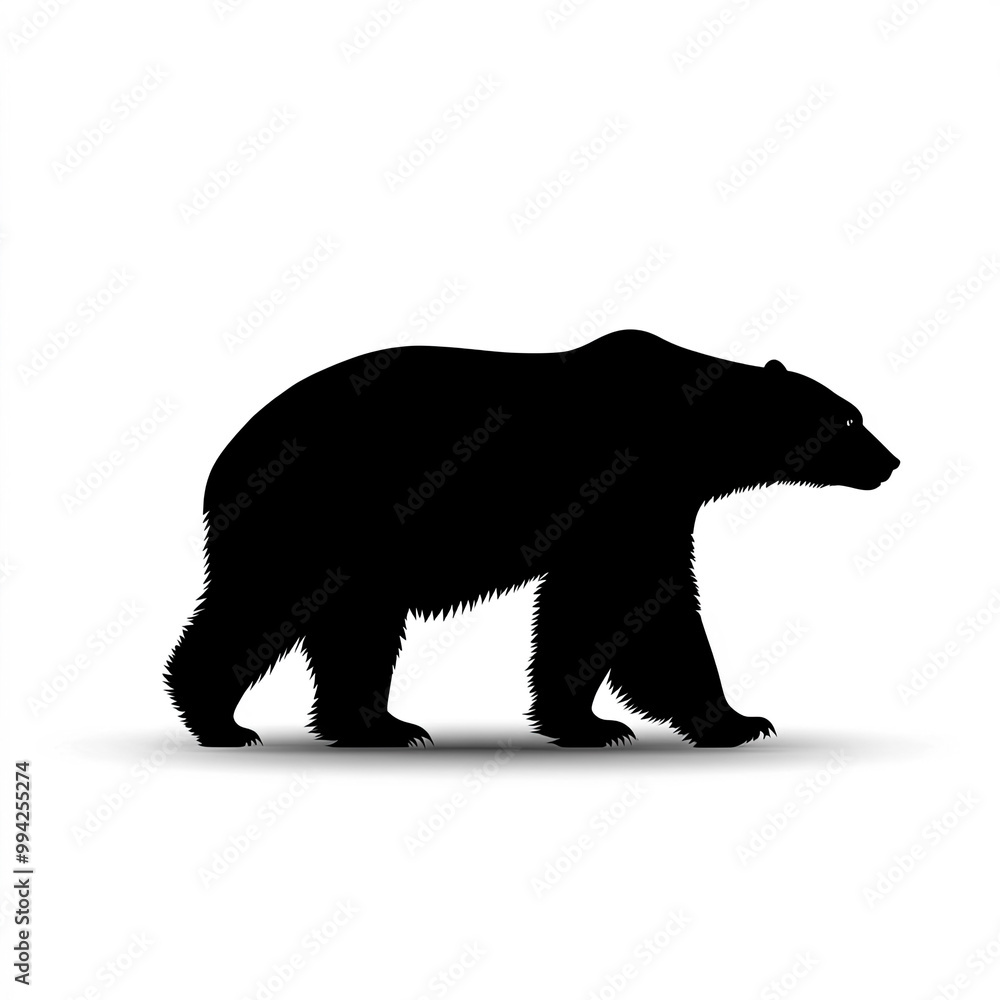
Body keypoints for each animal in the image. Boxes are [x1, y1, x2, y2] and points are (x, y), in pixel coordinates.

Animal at [164, 330, 899, 748]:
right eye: (850, 418)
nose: (890, 462)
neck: (691, 432)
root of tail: (223, 459)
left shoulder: (643, 506)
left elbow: (607, 605)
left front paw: (600, 722)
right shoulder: (626, 486)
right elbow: (636, 600)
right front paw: (725, 721)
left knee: (357, 626)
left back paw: (380, 728)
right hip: (313, 515)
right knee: (263, 603)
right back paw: (218, 719)